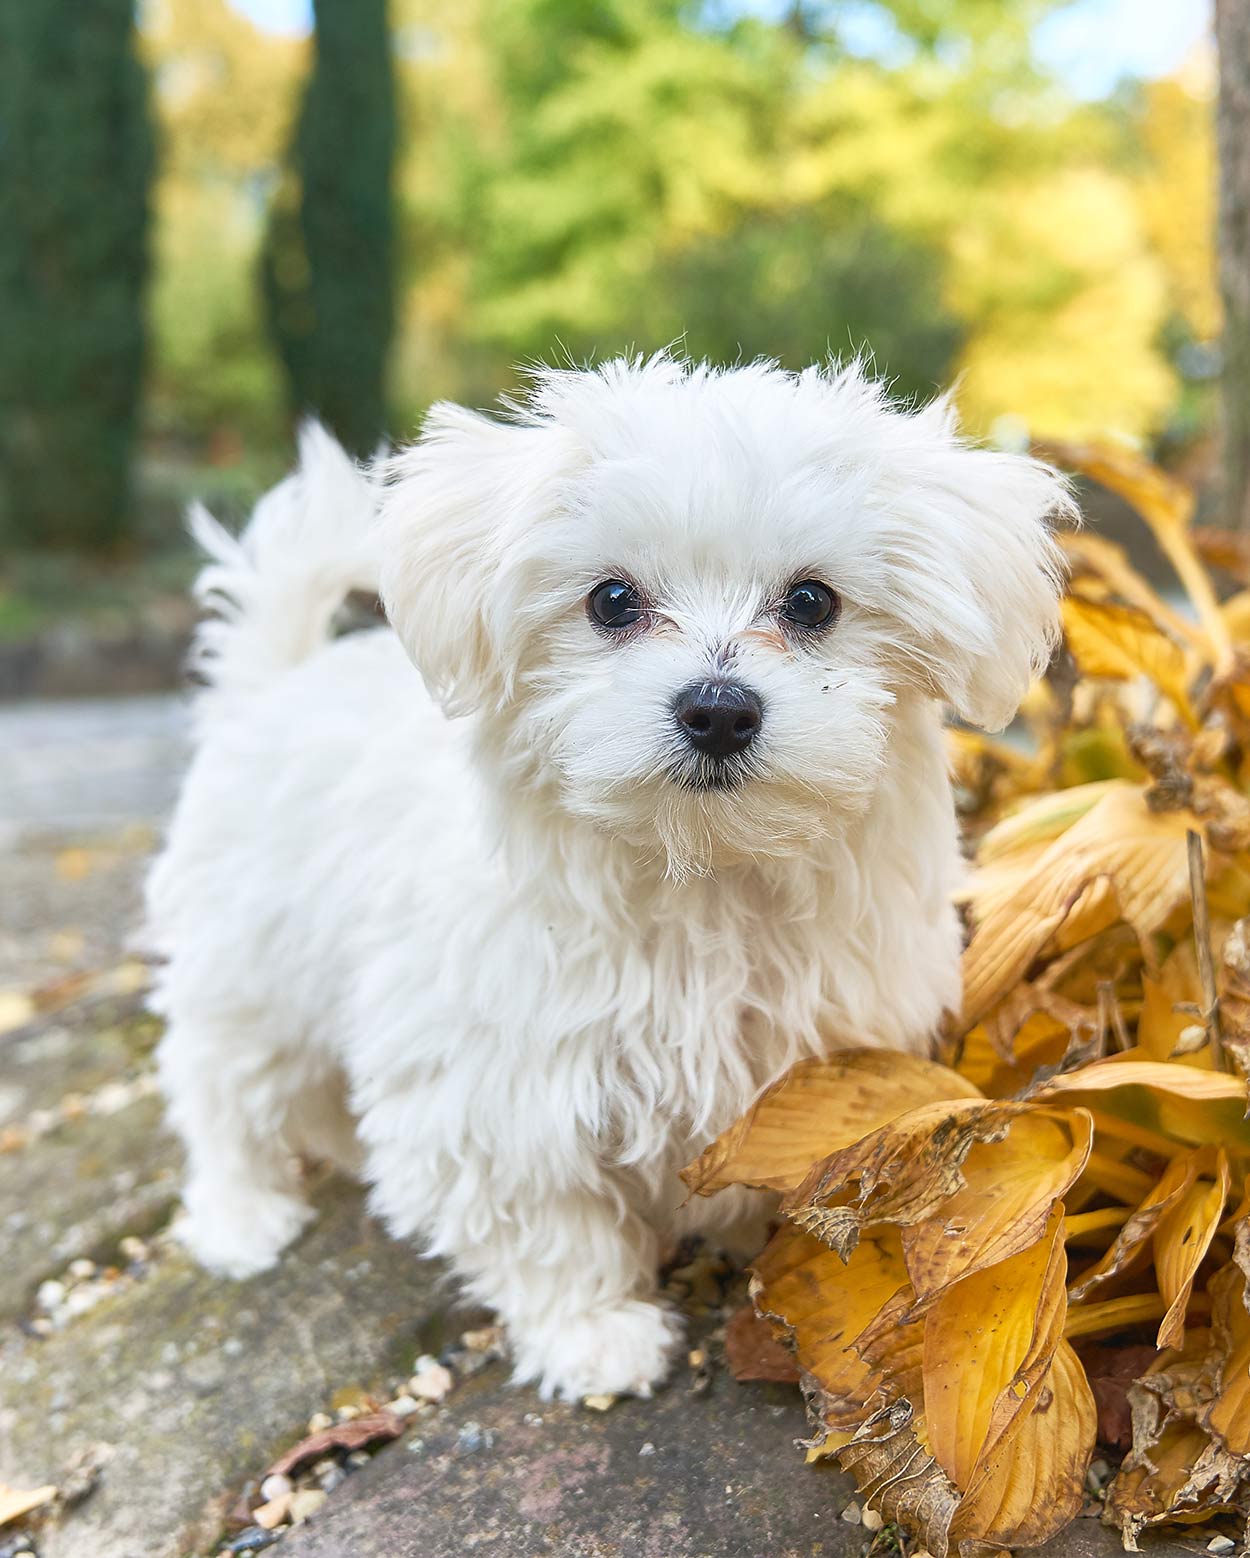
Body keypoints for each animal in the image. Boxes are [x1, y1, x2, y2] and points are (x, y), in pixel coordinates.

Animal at [143, 356, 1059, 1402]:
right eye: (612, 601)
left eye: (813, 603)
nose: (717, 708)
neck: (700, 877)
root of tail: (272, 685)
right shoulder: (493, 1088)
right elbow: (544, 1220)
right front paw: (595, 1334)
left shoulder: (817, 1058)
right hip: (248, 967)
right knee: (218, 1082)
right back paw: (240, 1216)